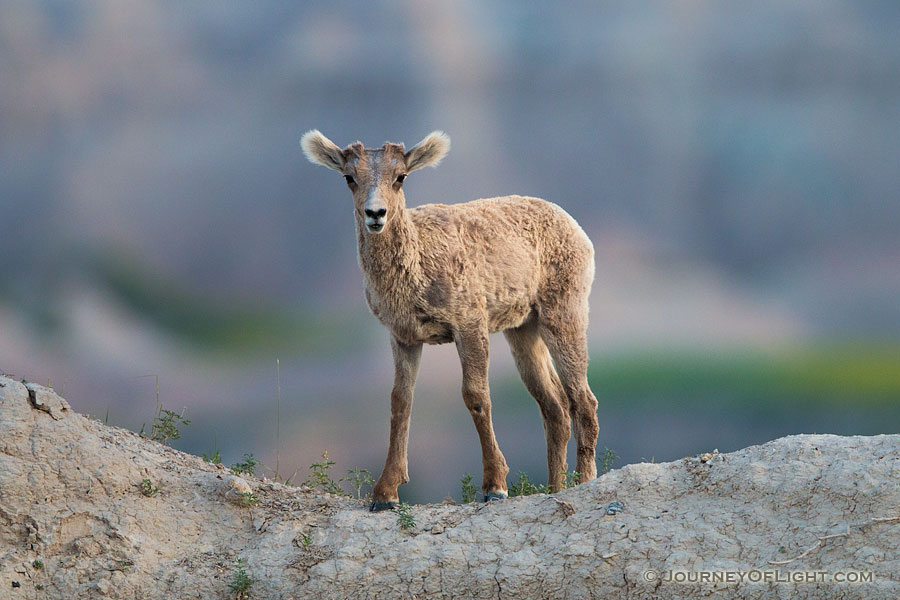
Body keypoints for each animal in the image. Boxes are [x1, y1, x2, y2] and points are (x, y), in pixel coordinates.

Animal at [298, 131, 600, 510]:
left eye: (401, 177)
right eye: (349, 178)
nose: (375, 213)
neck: (417, 267)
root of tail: (576, 228)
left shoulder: (469, 322)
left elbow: (476, 395)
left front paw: (495, 486)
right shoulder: (404, 337)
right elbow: (400, 401)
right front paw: (385, 494)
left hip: (564, 311)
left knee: (583, 400)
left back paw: (583, 482)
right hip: (522, 330)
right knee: (555, 406)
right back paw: (554, 488)